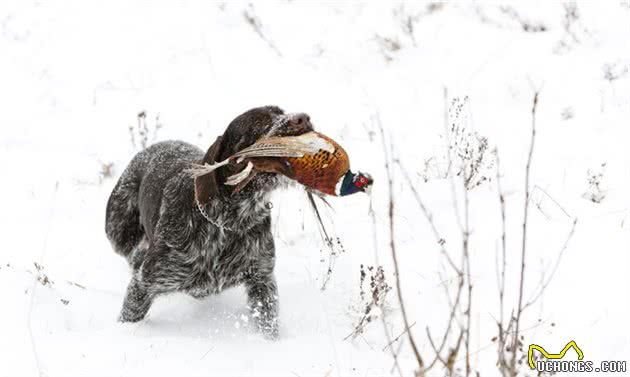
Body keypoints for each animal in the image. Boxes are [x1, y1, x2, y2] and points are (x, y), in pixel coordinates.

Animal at [107, 106, 316, 338]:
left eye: (281, 111)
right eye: (259, 122)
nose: (303, 118)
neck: (230, 222)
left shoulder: (262, 280)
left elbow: (267, 323)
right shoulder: (146, 282)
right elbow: (130, 313)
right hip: (118, 232)